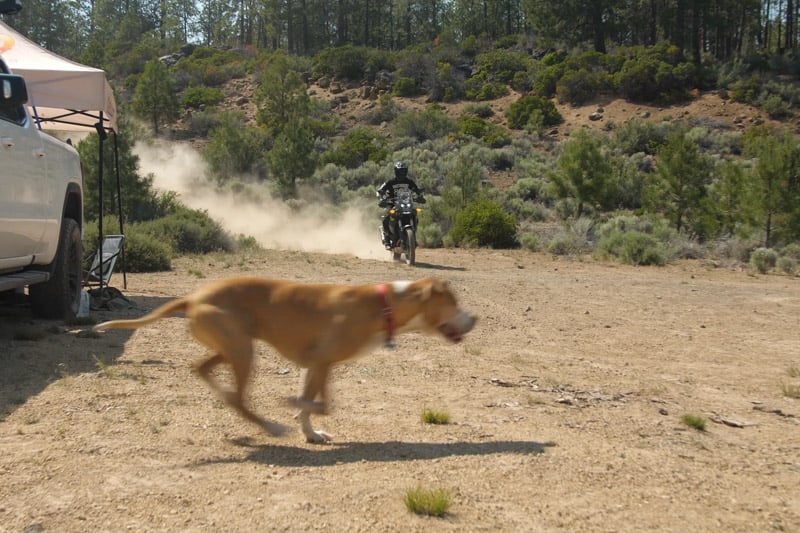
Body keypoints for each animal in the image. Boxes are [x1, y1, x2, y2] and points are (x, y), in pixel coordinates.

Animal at [94, 276, 476, 442]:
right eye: (454, 303)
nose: (474, 319)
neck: (383, 305)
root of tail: (194, 297)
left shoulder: (316, 366)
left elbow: (312, 404)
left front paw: (311, 432)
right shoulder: (322, 363)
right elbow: (320, 404)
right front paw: (294, 407)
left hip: (232, 347)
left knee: (203, 371)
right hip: (243, 352)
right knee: (239, 399)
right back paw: (271, 426)